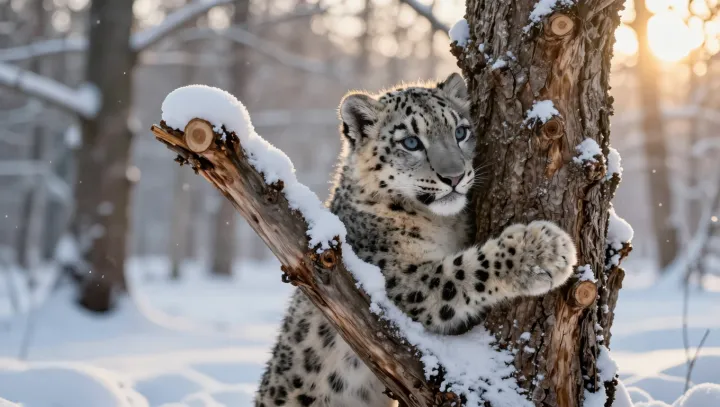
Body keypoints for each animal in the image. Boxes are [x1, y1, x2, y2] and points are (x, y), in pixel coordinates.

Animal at [254, 73, 577, 407]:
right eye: (411, 142)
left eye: (461, 131)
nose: (455, 176)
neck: (443, 224)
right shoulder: (398, 279)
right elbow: (464, 272)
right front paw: (545, 250)